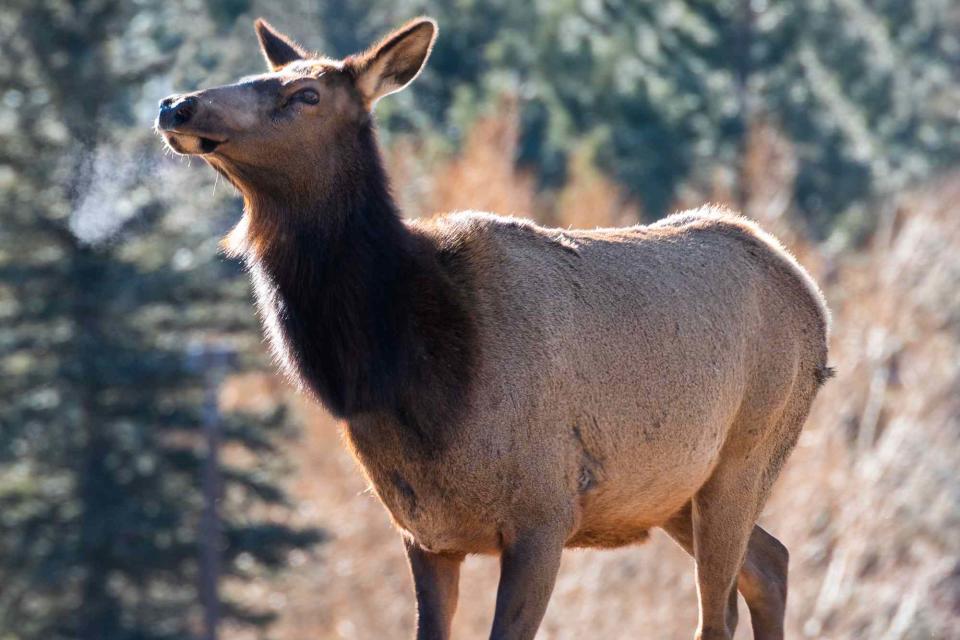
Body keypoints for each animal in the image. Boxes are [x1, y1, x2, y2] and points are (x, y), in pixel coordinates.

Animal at [158, 16, 832, 640]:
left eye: (306, 94)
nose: (175, 104)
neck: (411, 373)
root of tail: (812, 299)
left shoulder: (544, 511)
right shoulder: (424, 533)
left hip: (748, 448)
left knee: (718, 610)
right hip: (670, 490)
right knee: (770, 561)